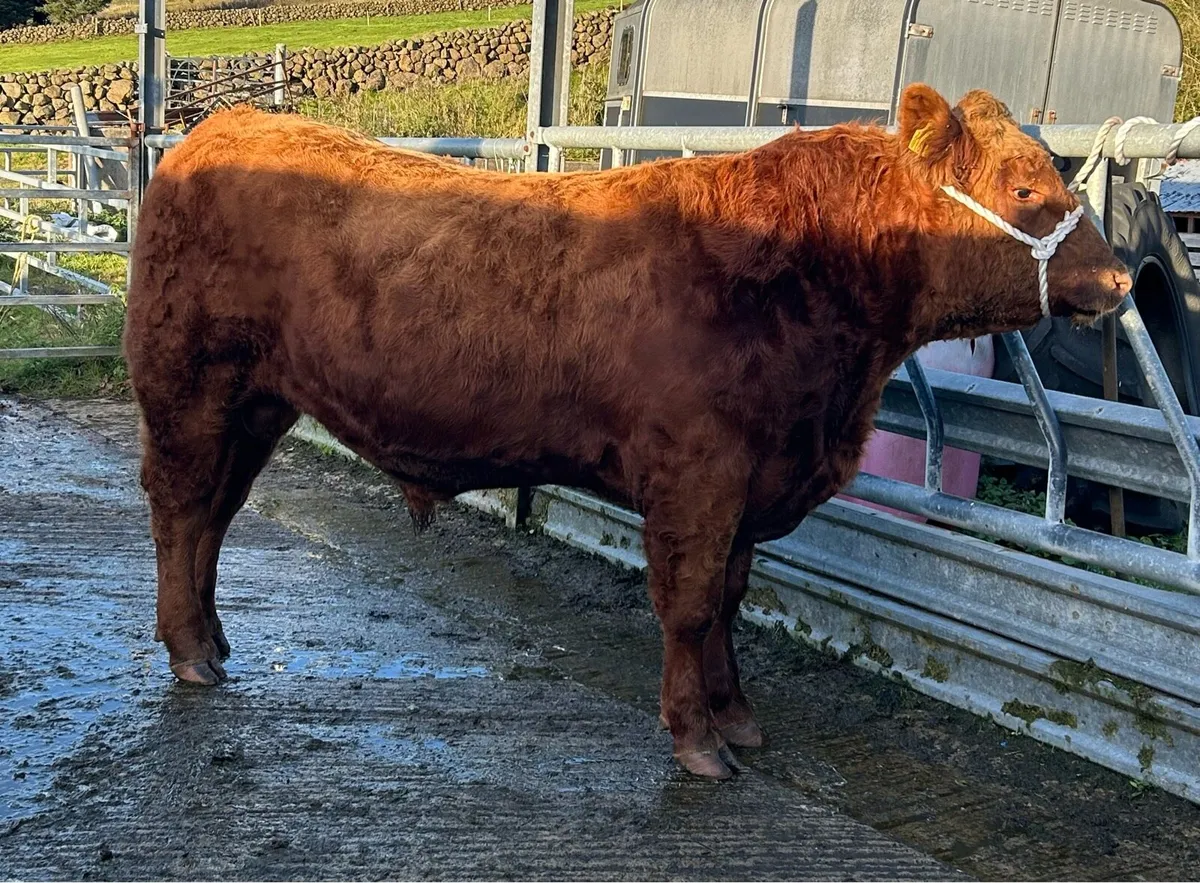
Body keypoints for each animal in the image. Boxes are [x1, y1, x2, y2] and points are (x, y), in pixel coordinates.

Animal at [124, 84, 1131, 779]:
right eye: (1024, 186)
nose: (1119, 281)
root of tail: (220, 129)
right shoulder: (698, 475)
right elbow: (688, 606)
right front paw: (698, 739)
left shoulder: (748, 485)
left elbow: (729, 600)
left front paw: (737, 716)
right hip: (188, 386)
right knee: (179, 511)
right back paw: (189, 651)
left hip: (256, 403)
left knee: (215, 515)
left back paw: (212, 641)